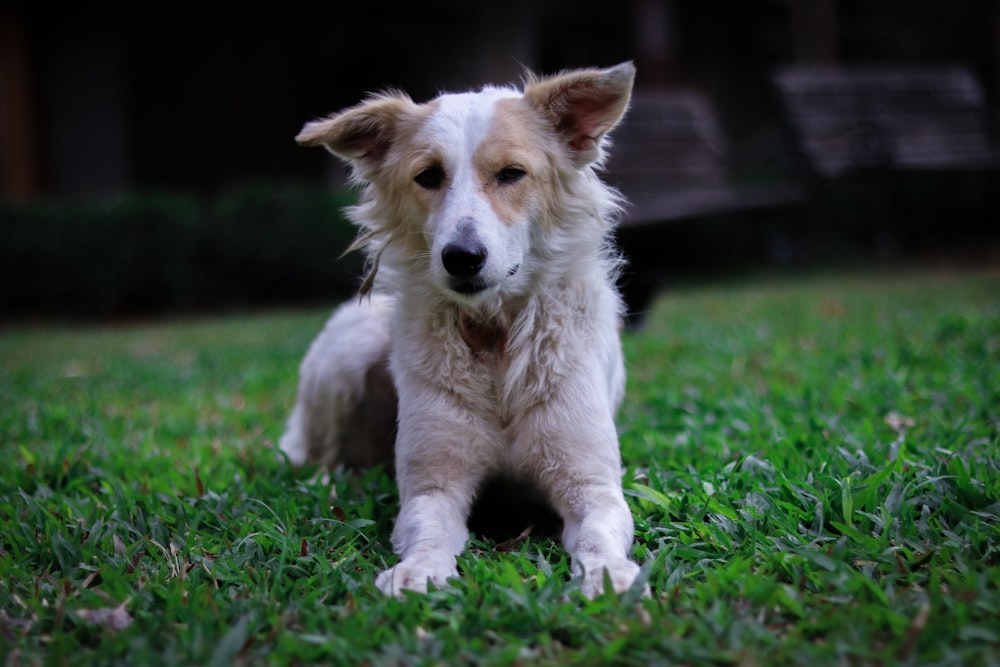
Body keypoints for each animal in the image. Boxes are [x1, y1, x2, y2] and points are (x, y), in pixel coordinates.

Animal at [282, 61, 640, 596]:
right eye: (428, 176)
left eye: (511, 174)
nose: (462, 257)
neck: (494, 337)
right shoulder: (434, 486)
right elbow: (430, 531)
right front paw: (418, 571)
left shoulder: (591, 485)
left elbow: (599, 533)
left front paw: (608, 572)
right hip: (347, 353)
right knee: (313, 452)